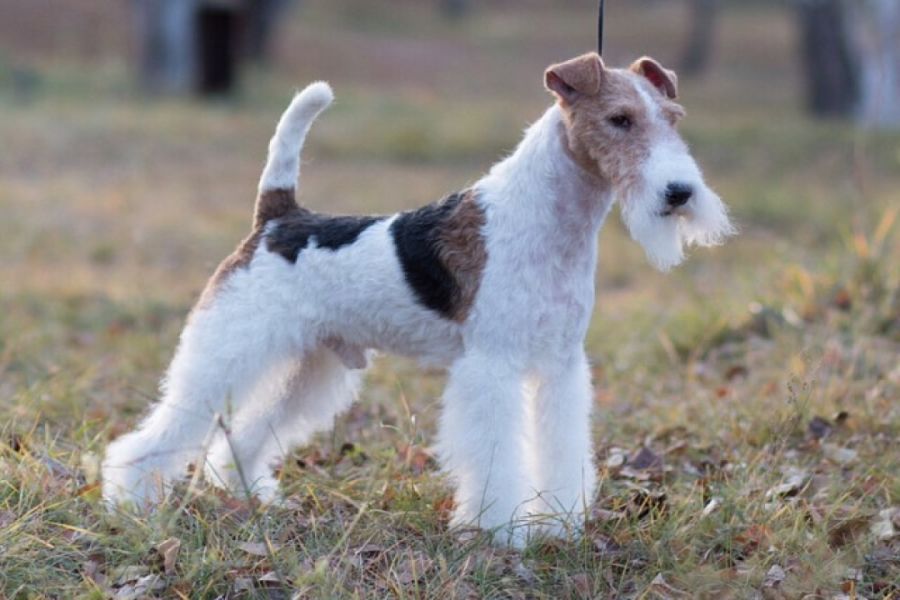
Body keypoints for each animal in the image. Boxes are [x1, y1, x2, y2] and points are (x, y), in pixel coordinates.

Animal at [102, 52, 736, 548]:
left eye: (673, 119)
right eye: (619, 119)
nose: (679, 193)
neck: (550, 221)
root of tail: (277, 217)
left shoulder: (560, 364)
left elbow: (560, 447)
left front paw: (559, 523)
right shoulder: (493, 364)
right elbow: (497, 453)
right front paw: (502, 531)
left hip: (313, 363)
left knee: (245, 434)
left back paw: (252, 498)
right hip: (231, 345)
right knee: (157, 435)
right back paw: (131, 502)